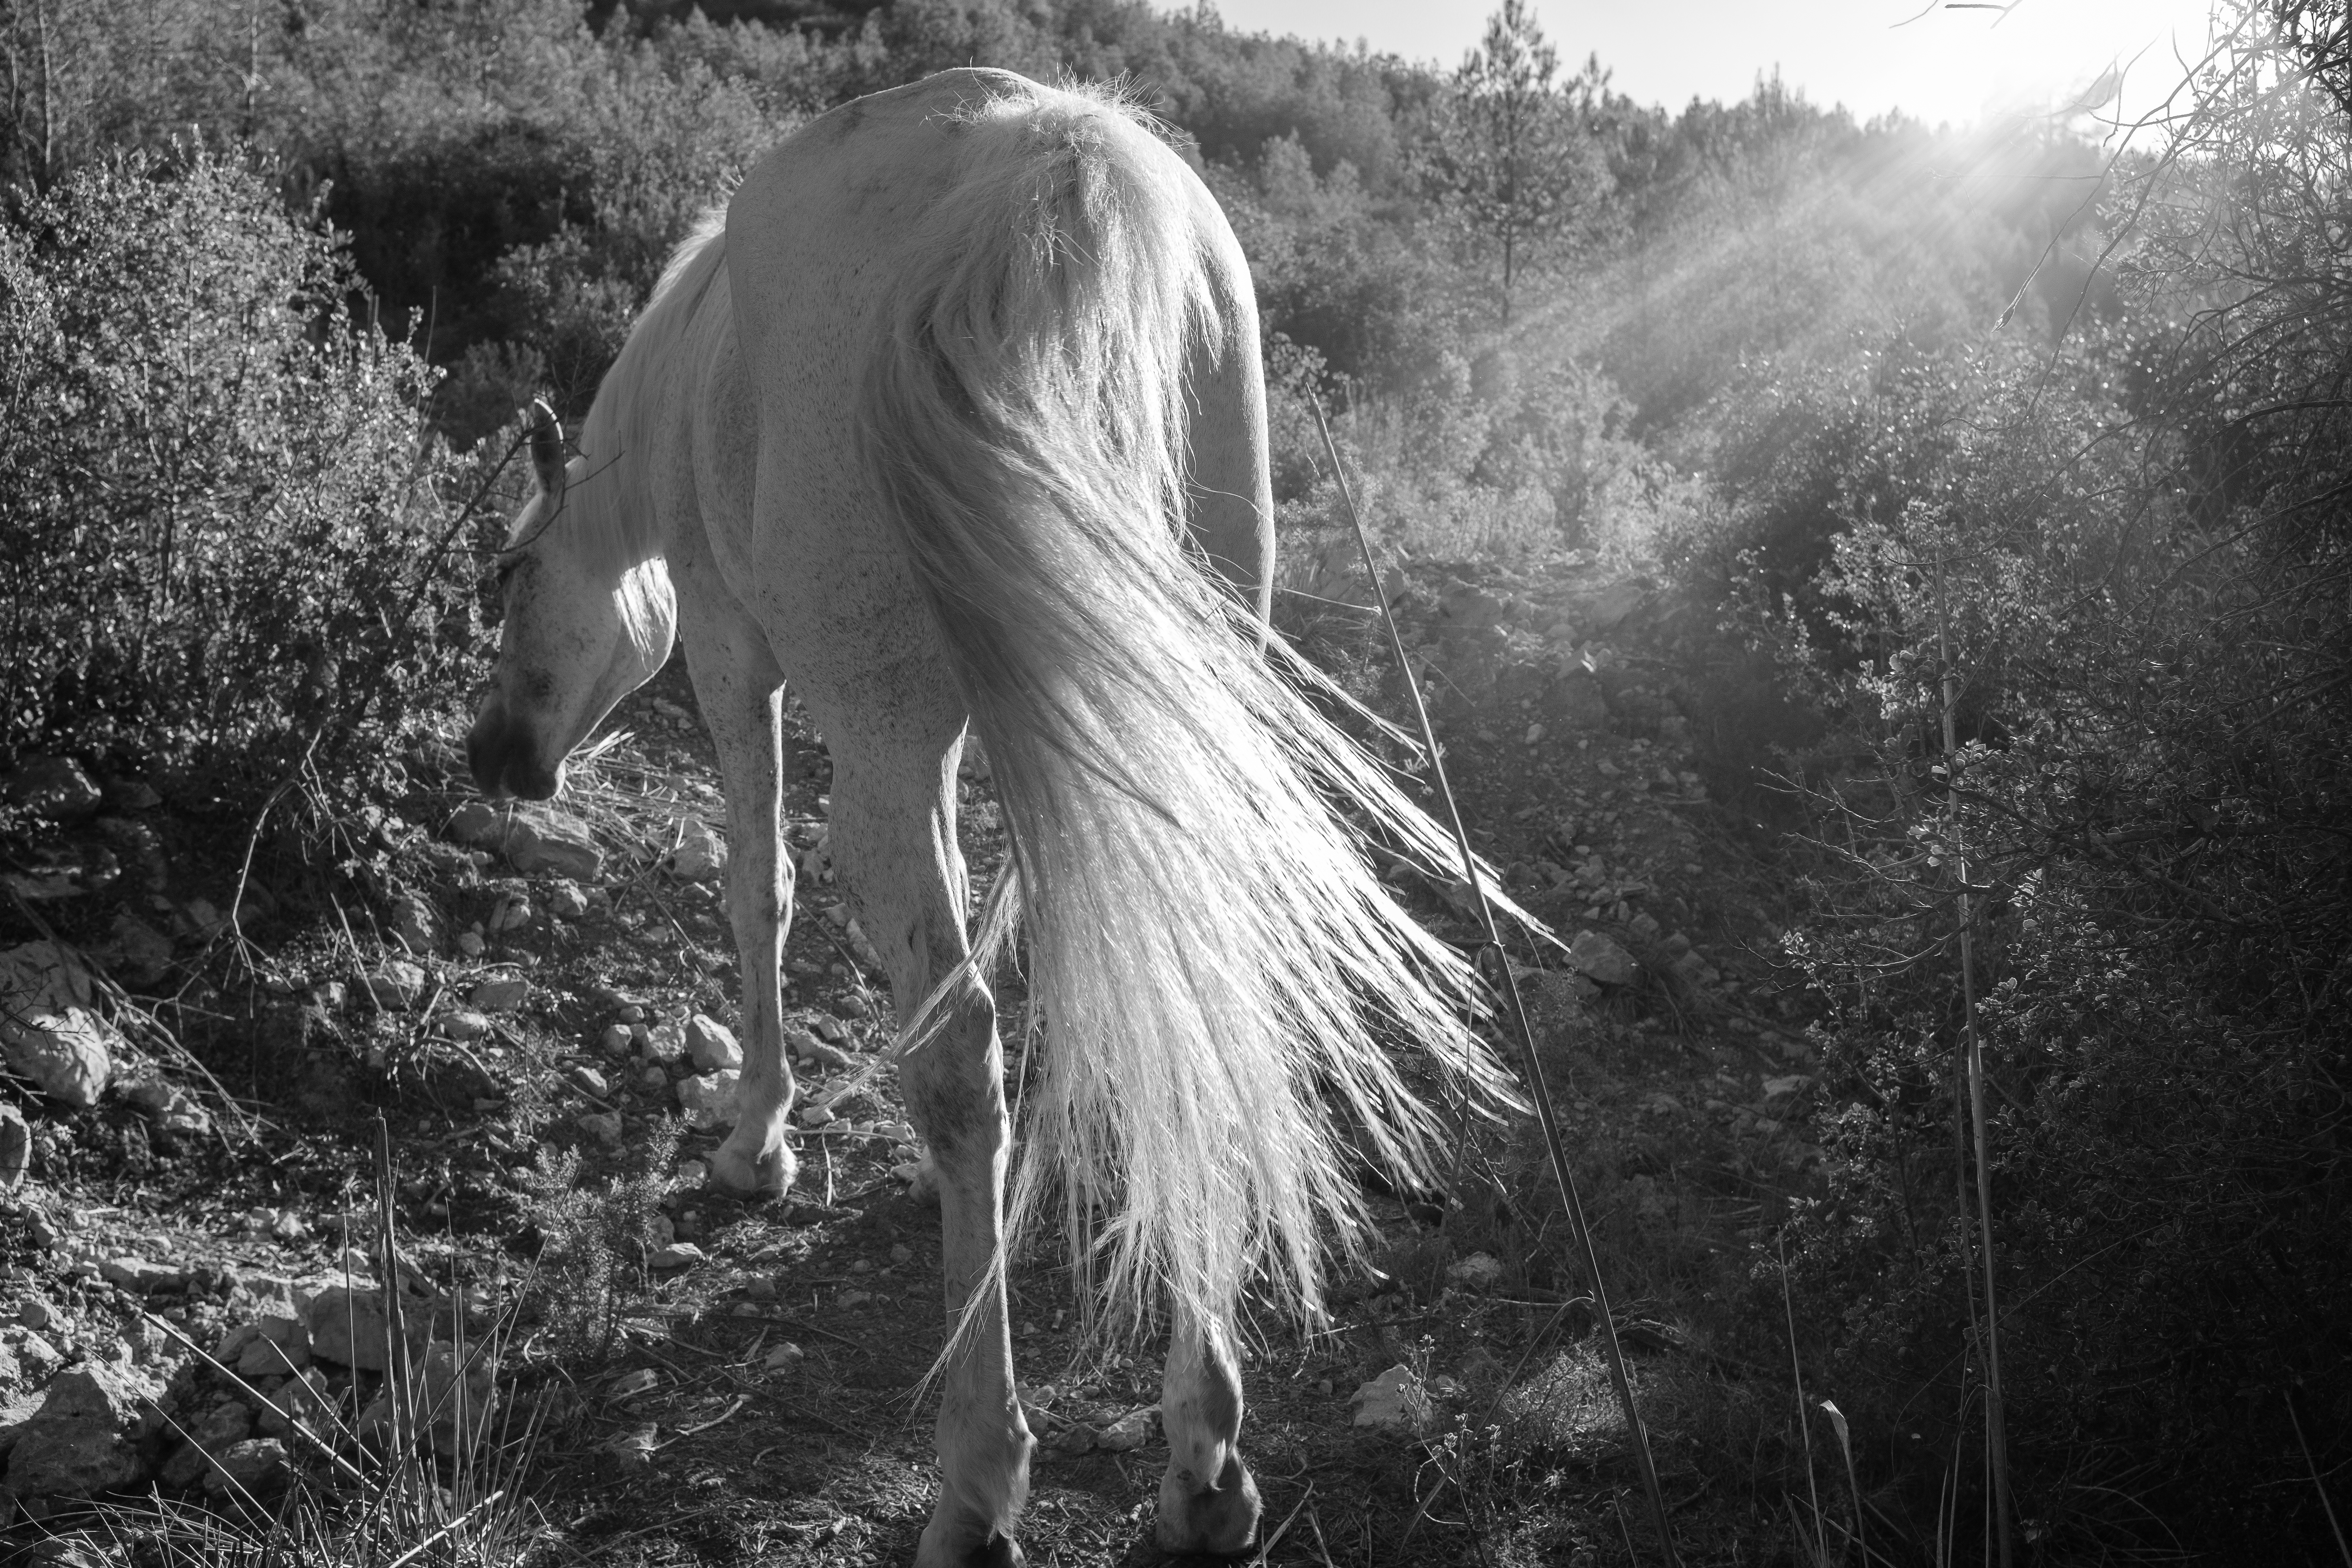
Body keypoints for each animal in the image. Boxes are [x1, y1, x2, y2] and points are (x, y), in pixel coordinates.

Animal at [470, 70, 1505, 1568]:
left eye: (508, 574)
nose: (495, 757)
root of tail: (1060, 172)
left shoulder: (734, 653)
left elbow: (759, 889)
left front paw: (756, 1137)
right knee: (1188, 983)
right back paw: (1204, 1463)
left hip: (886, 740)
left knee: (959, 1049)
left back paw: (974, 1485)